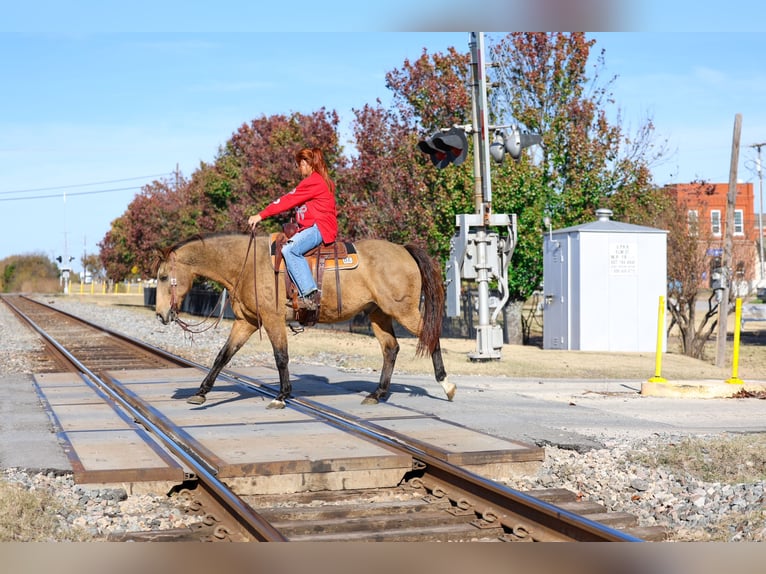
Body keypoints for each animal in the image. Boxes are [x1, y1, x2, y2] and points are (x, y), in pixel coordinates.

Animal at [154, 232, 455, 409]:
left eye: (163, 276)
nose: (160, 314)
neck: (247, 263)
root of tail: (403, 249)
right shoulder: (246, 322)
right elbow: (222, 356)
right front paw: (201, 392)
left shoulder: (273, 320)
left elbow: (281, 357)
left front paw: (282, 396)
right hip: (378, 314)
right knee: (390, 348)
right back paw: (377, 394)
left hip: (403, 311)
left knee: (430, 336)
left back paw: (446, 385)